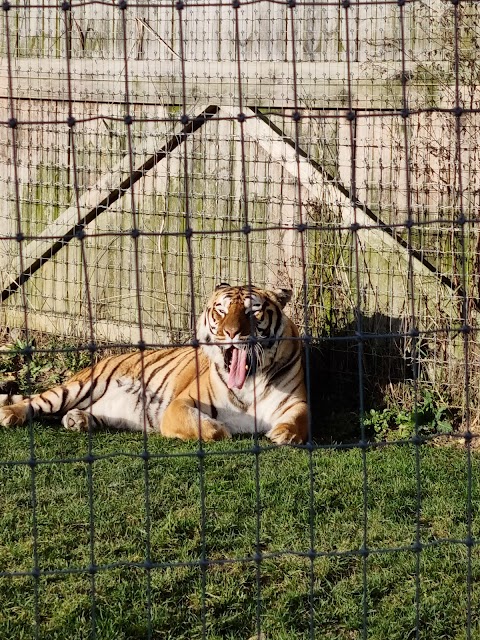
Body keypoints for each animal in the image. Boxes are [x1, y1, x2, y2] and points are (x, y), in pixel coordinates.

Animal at [0, 284, 308, 444]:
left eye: (253, 312)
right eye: (221, 310)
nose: (231, 333)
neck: (249, 381)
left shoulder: (297, 402)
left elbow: (300, 420)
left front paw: (283, 433)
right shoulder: (180, 404)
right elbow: (204, 426)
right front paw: (223, 430)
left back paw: (77, 420)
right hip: (78, 386)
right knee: (35, 401)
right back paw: (10, 414)